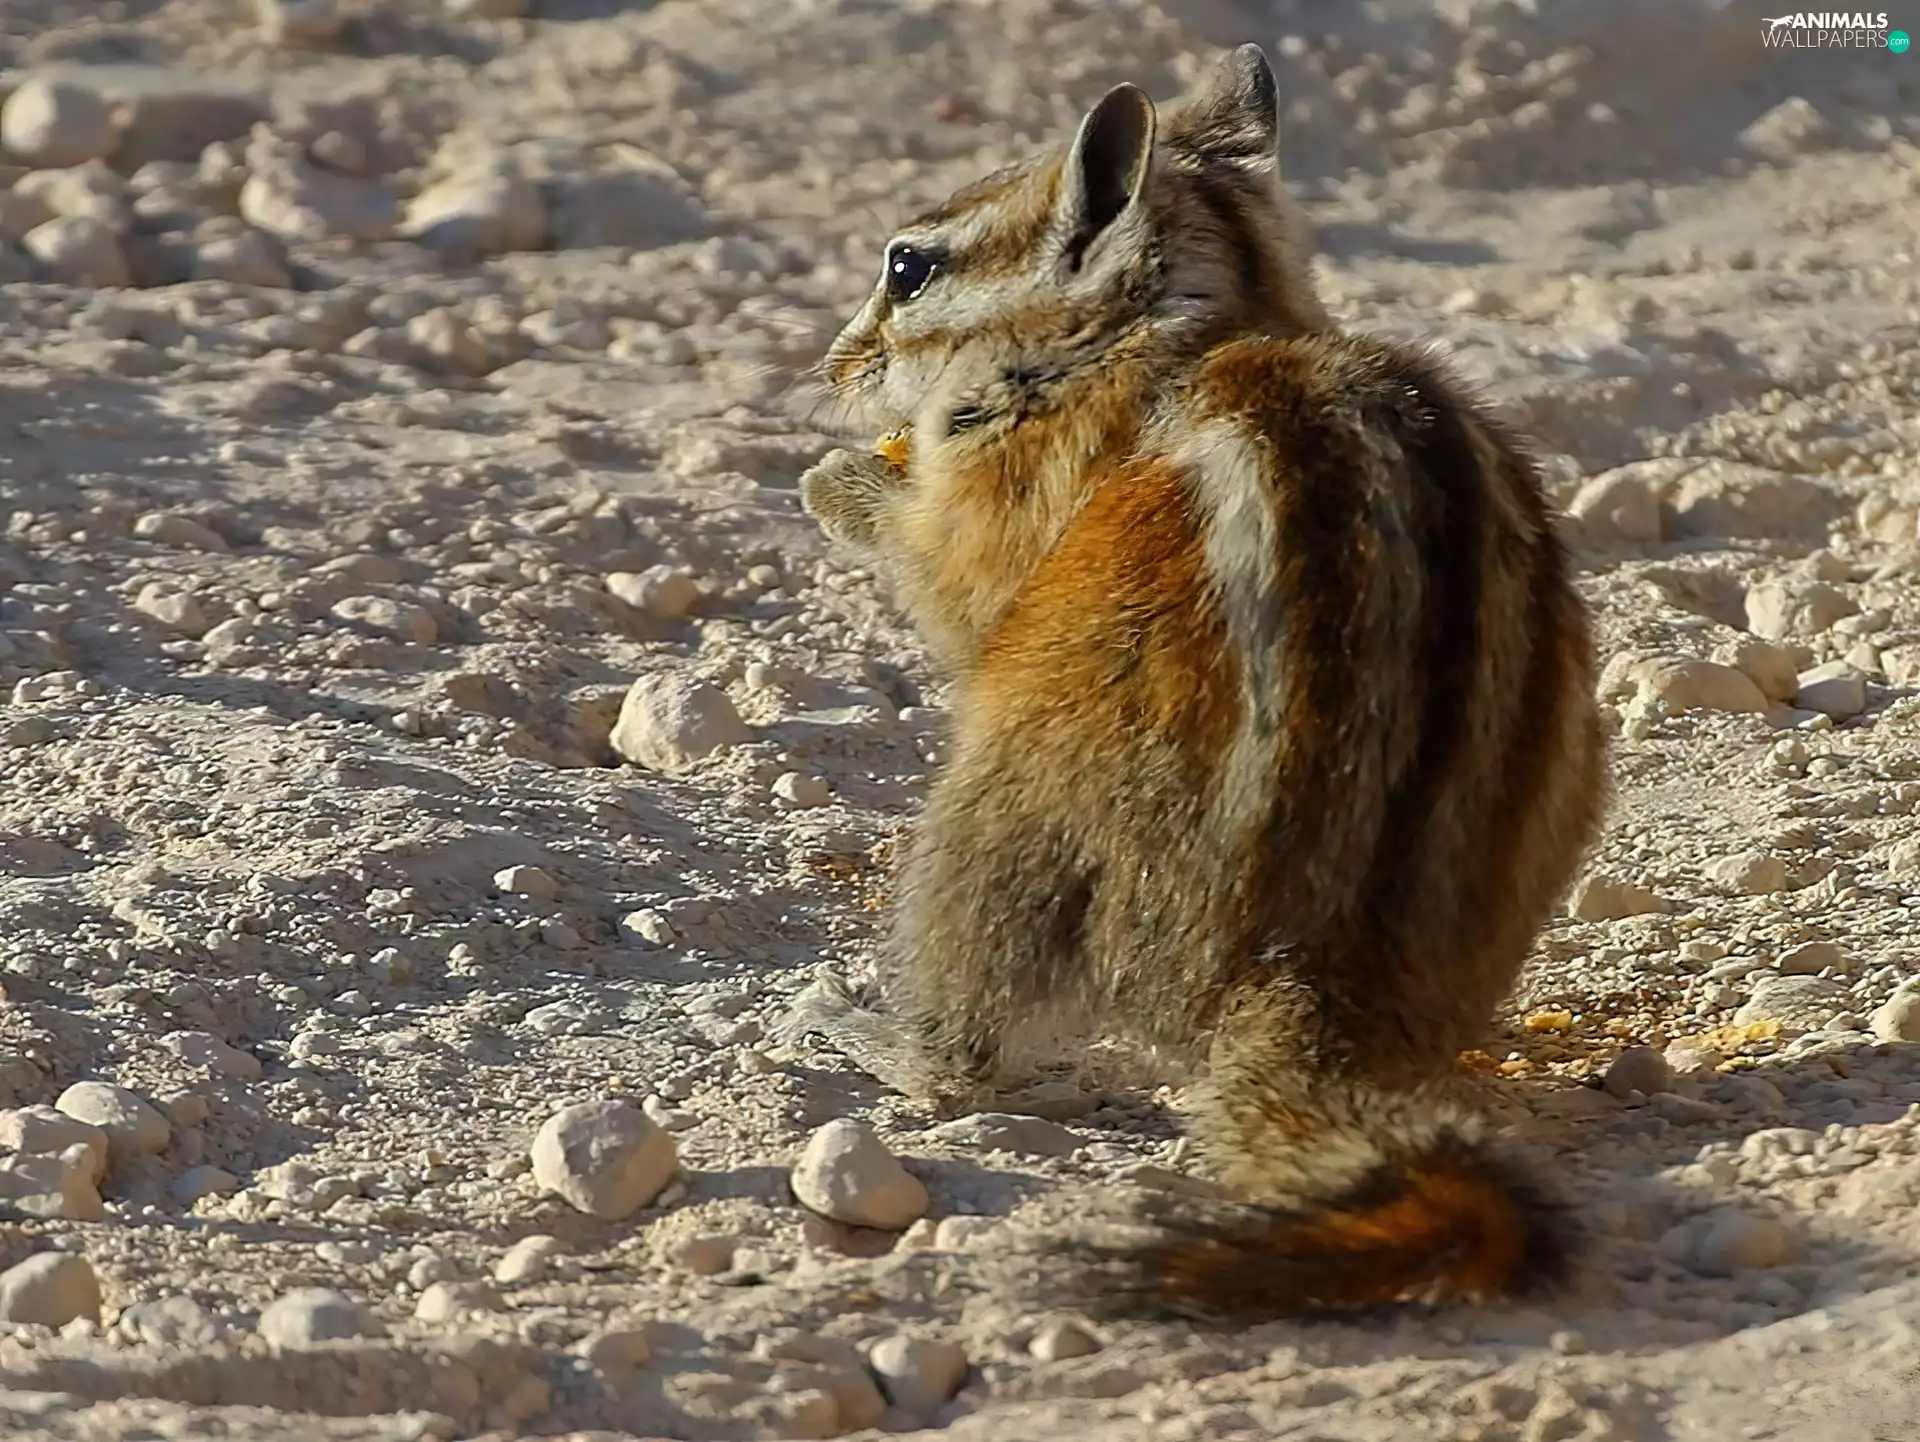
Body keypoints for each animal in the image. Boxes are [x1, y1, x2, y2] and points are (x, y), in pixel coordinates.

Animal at [783, 43, 1608, 1322]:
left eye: (908, 267)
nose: (829, 367)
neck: (1178, 332)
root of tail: (1312, 978)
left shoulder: (1009, 499)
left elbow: (953, 581)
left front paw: (838, 482)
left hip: (999, 816)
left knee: (962, 1051)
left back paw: (857, 1025)